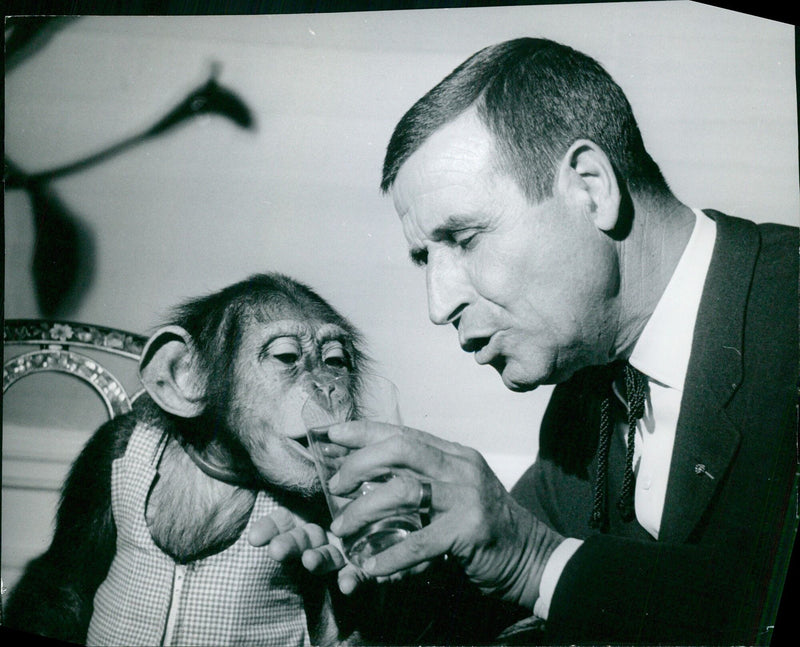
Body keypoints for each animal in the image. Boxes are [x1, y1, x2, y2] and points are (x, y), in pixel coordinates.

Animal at [2, 274, 372, 647]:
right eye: (286, 357)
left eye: (336, 362)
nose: (328, 387)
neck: (224, 465)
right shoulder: (105, 452)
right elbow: (64, 583)